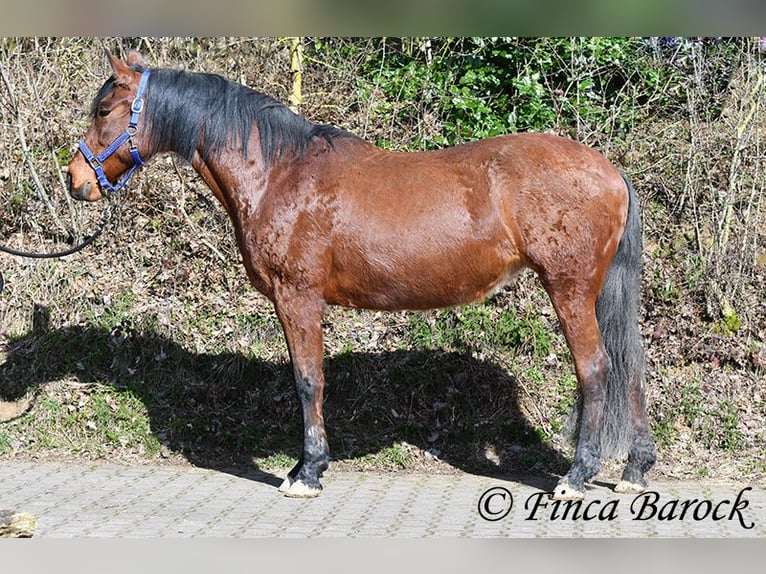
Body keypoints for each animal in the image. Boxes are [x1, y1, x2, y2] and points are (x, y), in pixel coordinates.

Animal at [67, 50, 656, 500]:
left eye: (105, 108)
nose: (74, 180)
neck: (279, 172)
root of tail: (610, 171)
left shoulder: (297, 297)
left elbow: (308, 380)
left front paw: (306, 473)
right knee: (630, 368)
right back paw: (633, 470)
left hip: (569, 290)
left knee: (597, 370)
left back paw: (576, 478)